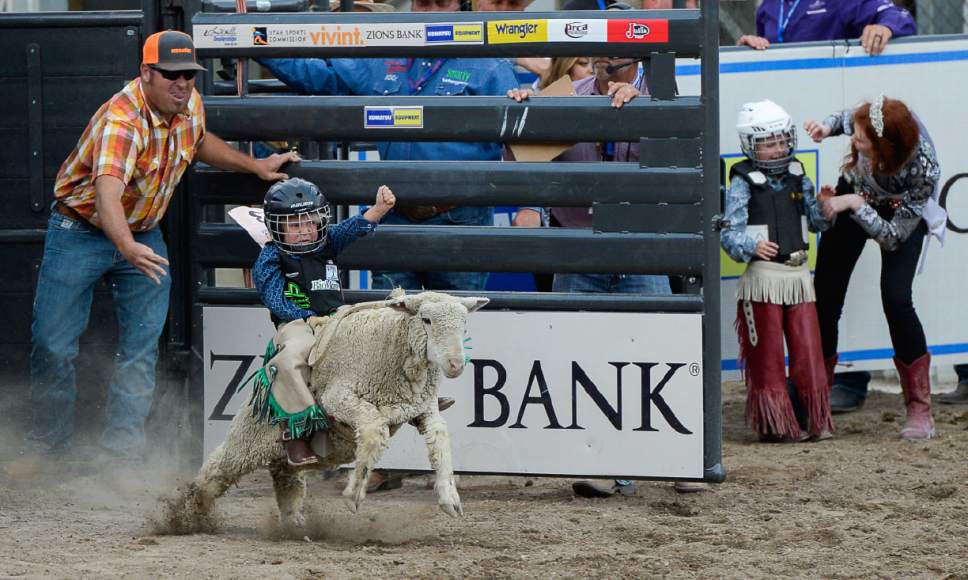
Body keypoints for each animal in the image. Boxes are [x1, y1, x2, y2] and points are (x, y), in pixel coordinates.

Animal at [164, 292, 492, 532]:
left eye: (464, 325)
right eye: (426, 319)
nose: (455, 365)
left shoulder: (421, 409)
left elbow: (440, 439)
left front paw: (450, 499)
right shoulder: (339, 398)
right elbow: (373, 432)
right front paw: (354, 494)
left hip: (285, 455)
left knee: (286, 478)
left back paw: (294, 523)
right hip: (249, 436)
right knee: (216, 472)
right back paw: (184, 515)